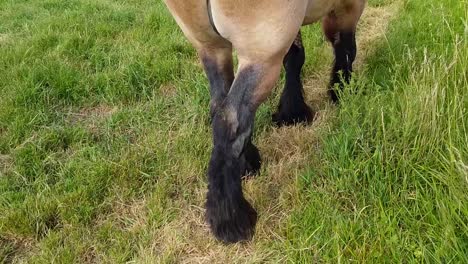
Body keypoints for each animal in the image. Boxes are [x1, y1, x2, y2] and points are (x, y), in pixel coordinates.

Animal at [164, 0, 366, 243]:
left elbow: (296, 57)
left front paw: (293, 113)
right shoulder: (348, 9)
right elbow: (345, 48)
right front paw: (341, 90)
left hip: (211, 47)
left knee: (219, 105)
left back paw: (247, 163)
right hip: (260, 55)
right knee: (230, 120)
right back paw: (231, 220)